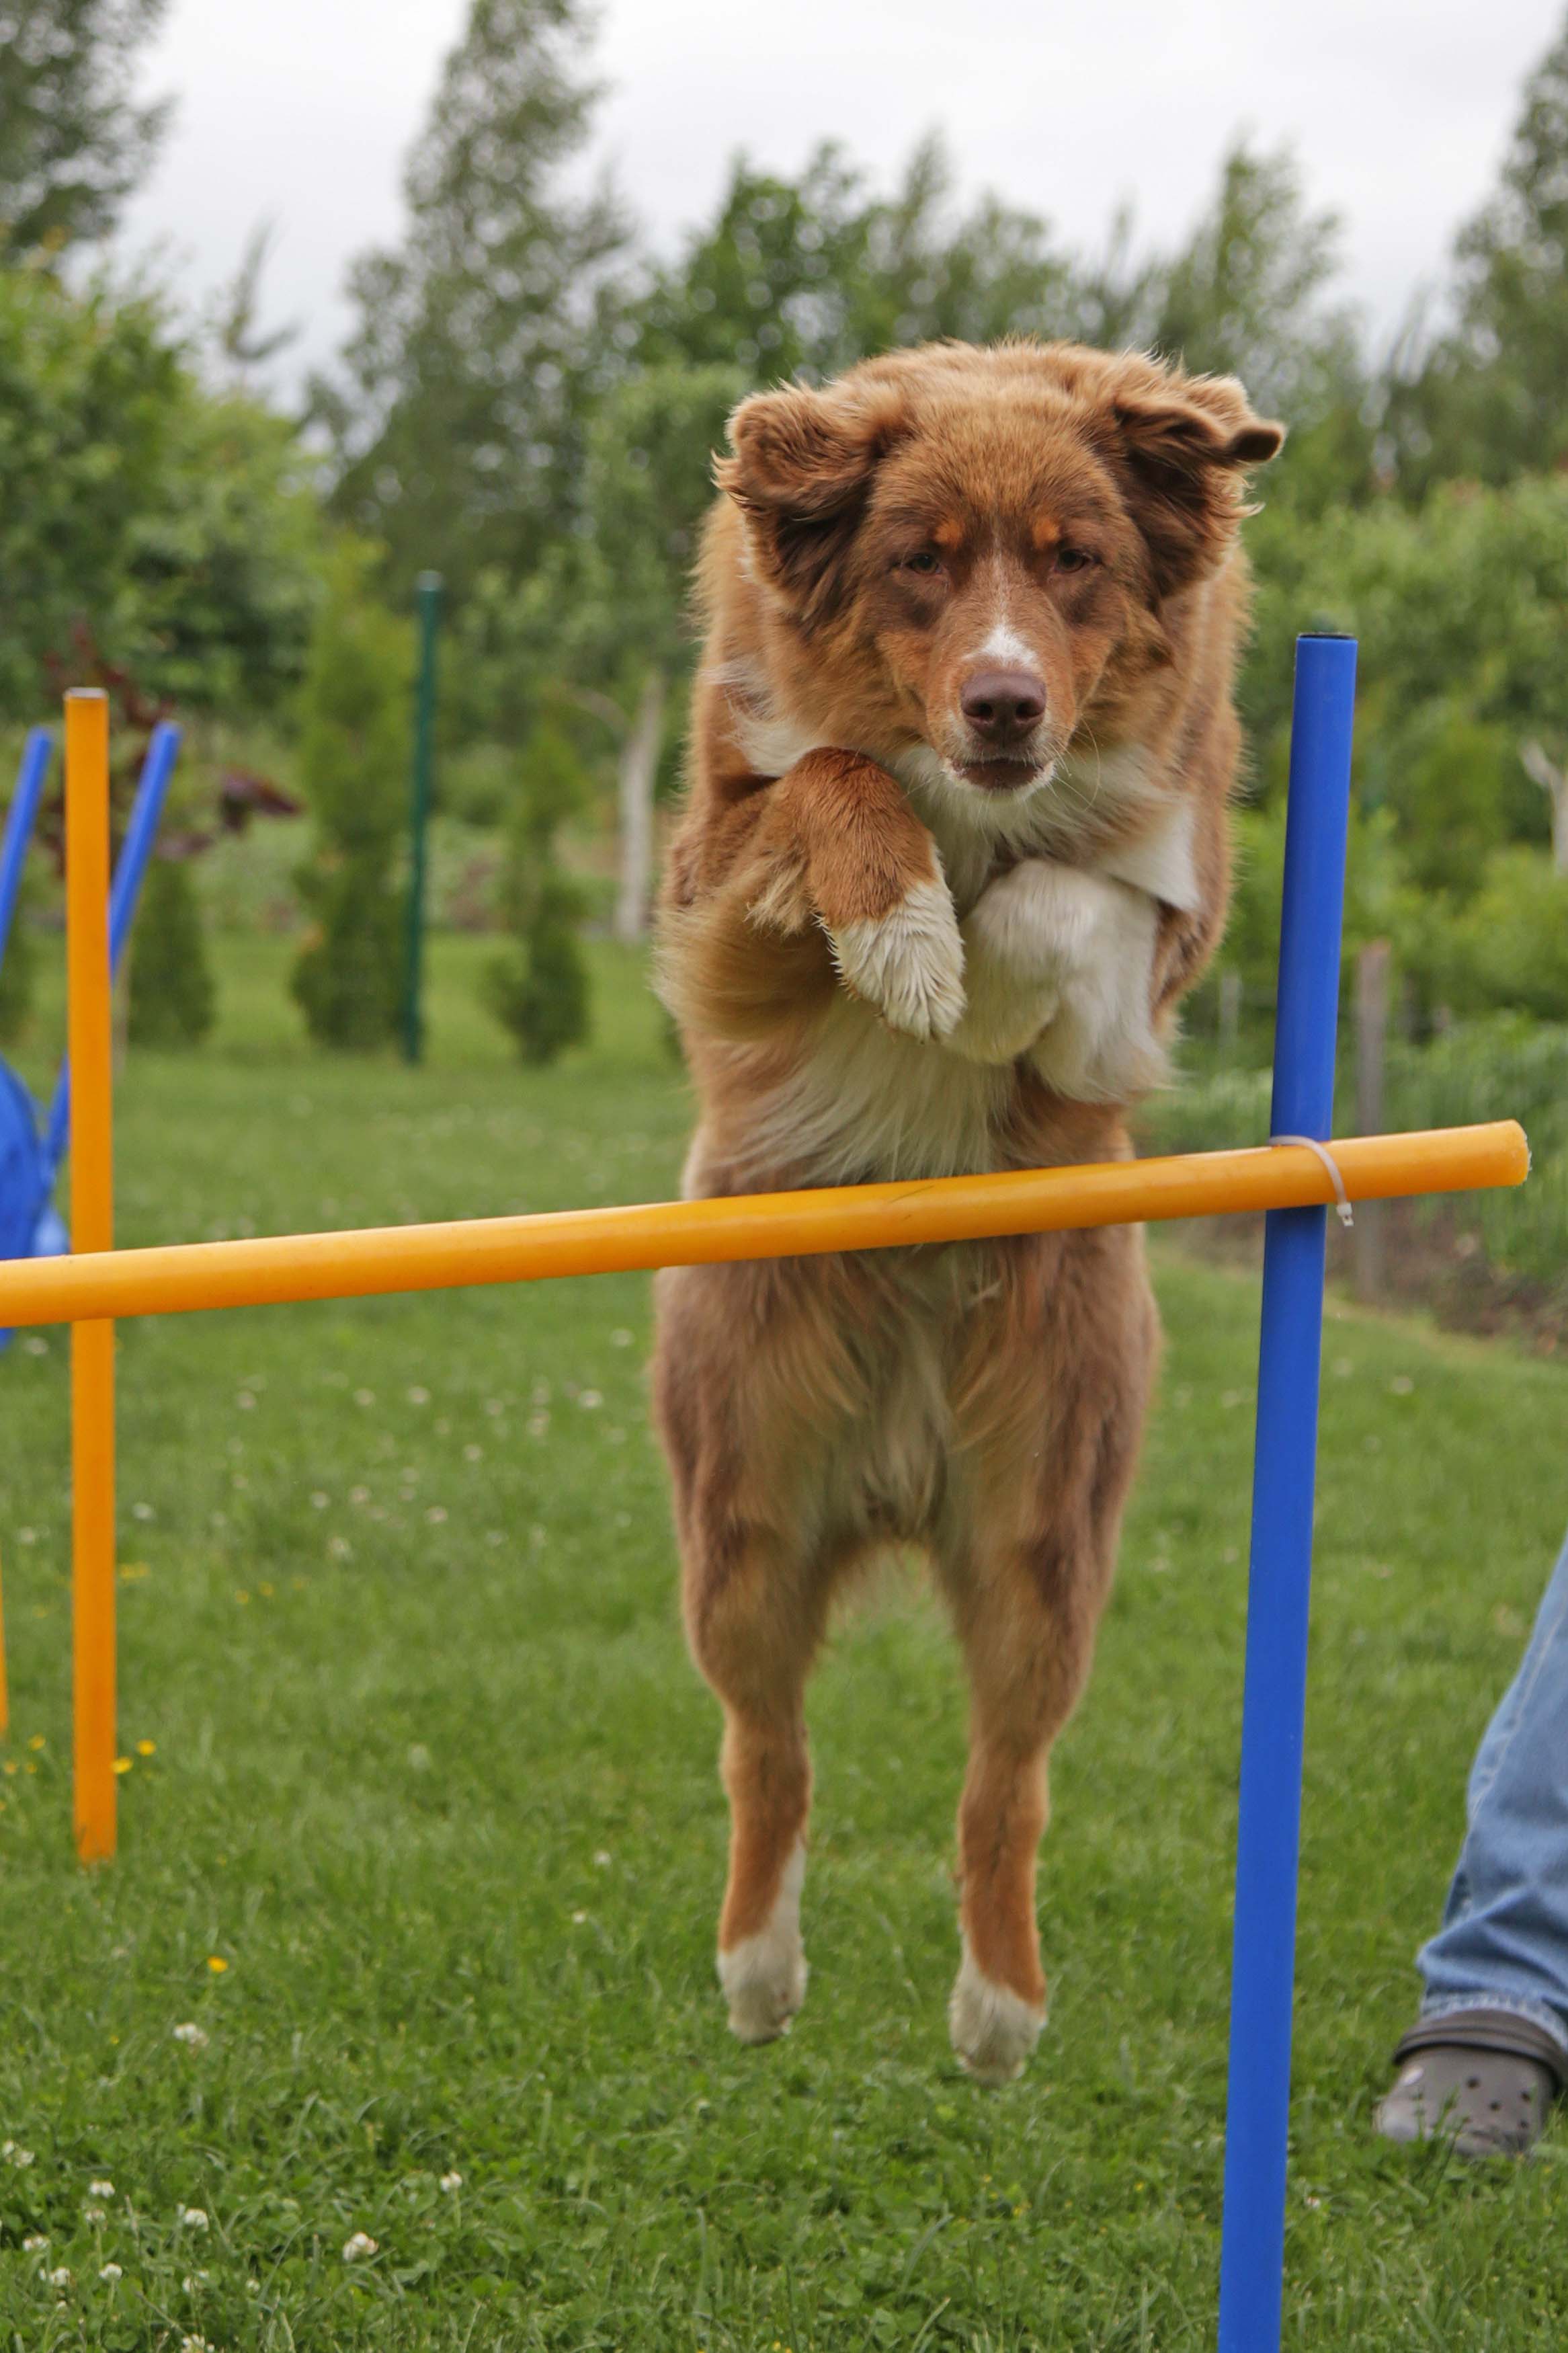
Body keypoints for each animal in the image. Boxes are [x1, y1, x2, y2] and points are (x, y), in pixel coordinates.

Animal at [649, 336, 1278, 2080]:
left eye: (1075, 561)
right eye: (918, 562)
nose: (1006, 705)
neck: (974, 798)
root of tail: (899, 1464)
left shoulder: (1169, 907)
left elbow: (1069, 901)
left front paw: (982, 985)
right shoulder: (716, 889)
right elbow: (829, 777)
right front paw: (911, 937)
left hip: (1047, 1523)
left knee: (1006, 1782)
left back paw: (999, 2012)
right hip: (741, 1507)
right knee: (765, 1747)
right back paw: (757, 1974)